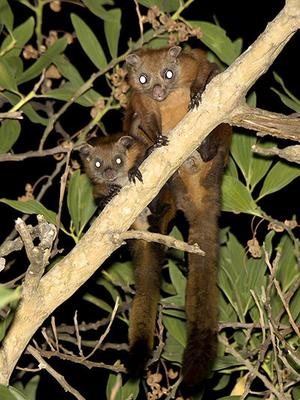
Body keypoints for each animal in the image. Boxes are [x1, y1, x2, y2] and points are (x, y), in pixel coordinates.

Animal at [124, 45, 232, 390]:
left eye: (168, 74)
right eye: (144, 78)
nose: (158, 91)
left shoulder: (189, 64)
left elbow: (205, 65)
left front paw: (197, 91)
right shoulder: (140, 101)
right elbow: (142, 120)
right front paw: (155, 138)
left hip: (220, 146)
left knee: (222, 127)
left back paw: (208, 147)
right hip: (174, 182)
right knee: (136, 131)